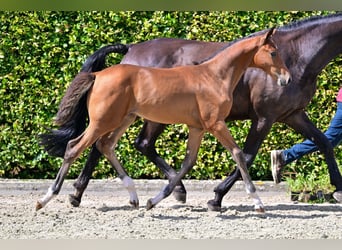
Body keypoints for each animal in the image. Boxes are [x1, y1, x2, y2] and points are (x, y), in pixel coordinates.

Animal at [40, 12, 342, 211]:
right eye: (274, 53)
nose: (285, 79)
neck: (298, 54)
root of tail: (131, 48)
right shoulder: (264, 117)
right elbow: (245, 155)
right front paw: (217, 197)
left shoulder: (293, 114)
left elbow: (324, 142)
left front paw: (338, 189)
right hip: (135, 116)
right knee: (108, 144)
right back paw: (76, 194)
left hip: (136, 115)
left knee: (124, 144)